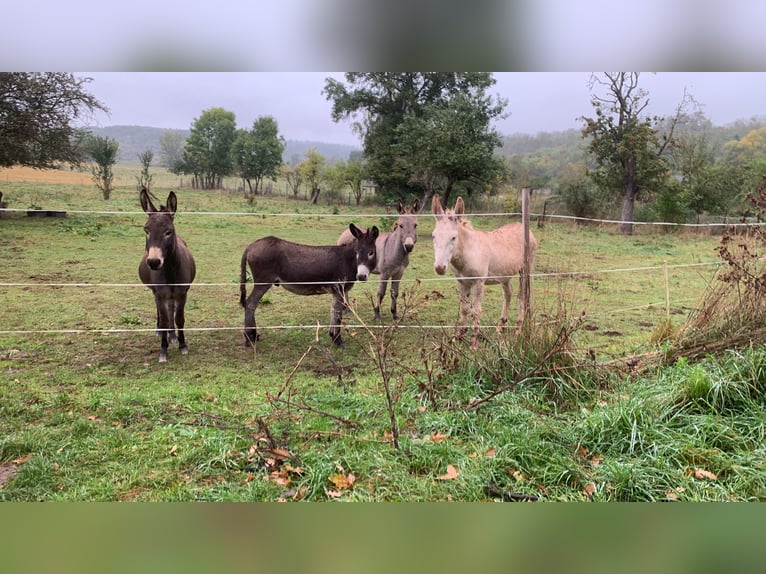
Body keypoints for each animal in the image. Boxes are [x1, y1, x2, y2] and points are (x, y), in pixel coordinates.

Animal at [138, 189, 197, 363]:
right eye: (146, 230)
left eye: (168, 232)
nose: (153, 262)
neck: (169, 271)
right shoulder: (159, 293)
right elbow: (164, 320)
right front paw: (163, 350)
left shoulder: (182, 293)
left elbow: (179, 318)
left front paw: (182, 345)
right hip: (158, 293)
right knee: (161, 311)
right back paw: (161, 332)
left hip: (172, 295)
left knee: (171, 310)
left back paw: (173, 336)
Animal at [239, 224, 379, 347]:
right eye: (357, 252)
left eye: (371, 253)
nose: (361, 276)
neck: (348, 260)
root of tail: (251, 246)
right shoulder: (340, 289)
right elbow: (338, 315)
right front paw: (338, 341)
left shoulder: (336, 291)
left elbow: (333, 311)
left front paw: (333, 336)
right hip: (263, 282)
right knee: (250, 303)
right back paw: (249, 338)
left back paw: (253, 336)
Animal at [431, 194, 537, 349]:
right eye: (433, 236)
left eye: (453, 237)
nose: (439, 268)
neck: (467, 251)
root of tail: (525, 228)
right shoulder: (462, 282)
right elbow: (464, 309)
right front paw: (458, 336)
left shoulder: (478, 282)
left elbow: (476, 311)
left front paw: (474, 343)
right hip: (505, 274)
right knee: (508, 294)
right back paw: (500, 326)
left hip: (525, 270)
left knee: (522, 295)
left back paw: (518, 329)